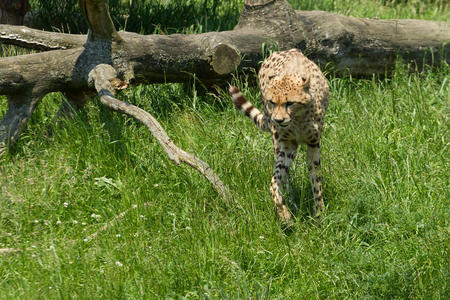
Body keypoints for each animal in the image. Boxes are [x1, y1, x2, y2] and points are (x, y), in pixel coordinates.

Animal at [230, 48, 328, 223]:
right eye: (272, 102)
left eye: (290, 103)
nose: (278, 119)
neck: (298, 120)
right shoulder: (287, 144)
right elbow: (274, 181)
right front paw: (284, 213)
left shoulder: (313, 144)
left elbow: (316, 180)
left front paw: (319, 213)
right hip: (278, 142)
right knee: (284, 173)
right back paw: (290, 201)